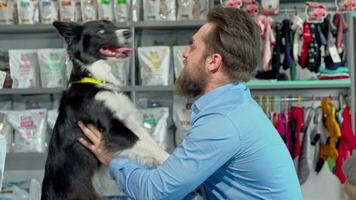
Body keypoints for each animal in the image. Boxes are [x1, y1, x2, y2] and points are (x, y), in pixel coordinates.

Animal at [41, 20, 169, 200]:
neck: (96, 80)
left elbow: (152, 143)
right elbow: (146, 145)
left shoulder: (126, 121)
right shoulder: (113, 130)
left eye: (114, 25)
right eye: (100, 31)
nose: (127, 33)